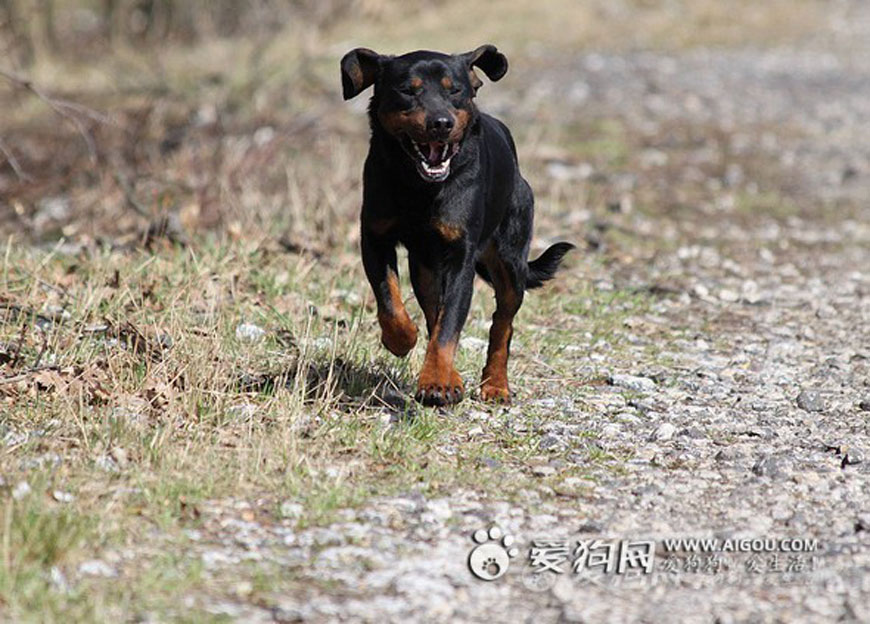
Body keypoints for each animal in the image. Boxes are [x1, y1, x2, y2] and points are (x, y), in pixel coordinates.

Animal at [344, 44, 576, 404]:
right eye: (407, 90)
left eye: (454, 90)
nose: (440, 123)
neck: (419, 186)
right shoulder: (375, 238)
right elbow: (391, 301)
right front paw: (402, 340)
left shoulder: (460, 255)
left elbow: (449, 325)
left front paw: (437, 382)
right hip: (425, 265)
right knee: (432, 311)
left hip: (511, 260)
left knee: (502, 323)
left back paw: (496, 384)